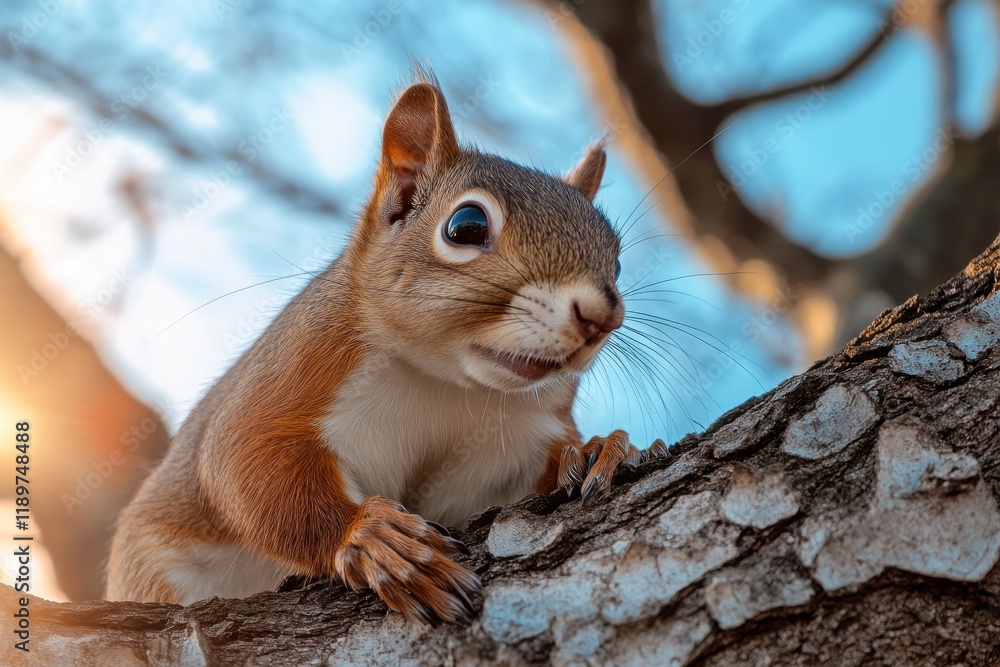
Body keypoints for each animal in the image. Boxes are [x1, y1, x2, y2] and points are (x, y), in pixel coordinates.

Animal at [106, 72, 656, 625]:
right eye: (467, 226)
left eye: (617, 260)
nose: (600, 318)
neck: (448, 382)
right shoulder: (295, 372)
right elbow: (247, 463)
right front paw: (371, 539)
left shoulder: (514, 441)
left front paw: (596, 449)